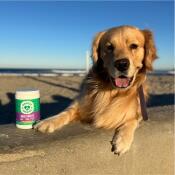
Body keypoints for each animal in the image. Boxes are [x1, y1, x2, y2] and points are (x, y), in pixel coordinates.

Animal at [34, 25, 157, 154]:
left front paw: (123, 139)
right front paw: (48, 121)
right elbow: (65, 112)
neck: (112, 91)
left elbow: (132, 120)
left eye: (134, 46)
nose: (122, 64)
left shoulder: (140, 110)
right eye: (109, 47)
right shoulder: (81, 104)